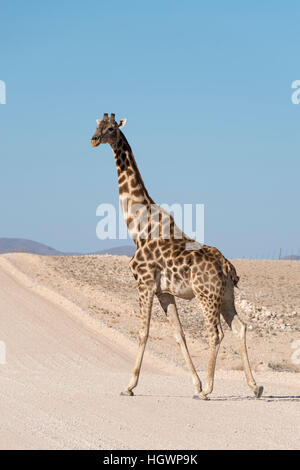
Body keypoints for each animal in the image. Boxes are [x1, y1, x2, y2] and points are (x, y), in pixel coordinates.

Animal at [91, 114, 262, 400]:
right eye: (97, 125)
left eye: (111, 128)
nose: (93, 139)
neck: (137, 227)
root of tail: (227, 267)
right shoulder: (164, 292)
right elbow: (178, 333)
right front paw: (196, 383)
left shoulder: (145, 283)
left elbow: (144, 331)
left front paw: (129, 386)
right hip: (226, 296)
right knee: (240, 327)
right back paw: (255, 386)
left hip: (206, 295)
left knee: (215, 333)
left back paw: (209, 391)